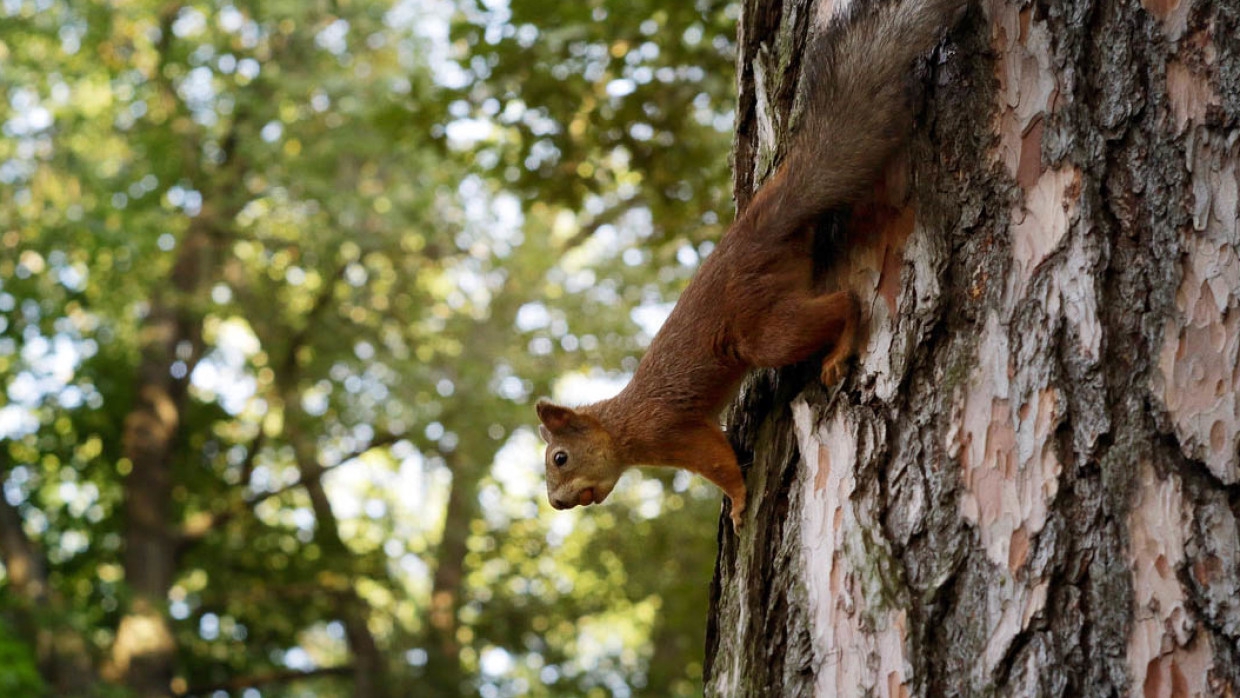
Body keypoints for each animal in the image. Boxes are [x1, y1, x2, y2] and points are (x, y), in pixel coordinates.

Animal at [538, 0, 962, 533]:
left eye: (560, 458)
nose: (556, 504)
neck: (622, 426)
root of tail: (755, 231)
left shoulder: (674, 430)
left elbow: (718, 462)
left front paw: (739, 503)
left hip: (760, 329)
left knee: (844, 302)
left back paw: (839, 349)